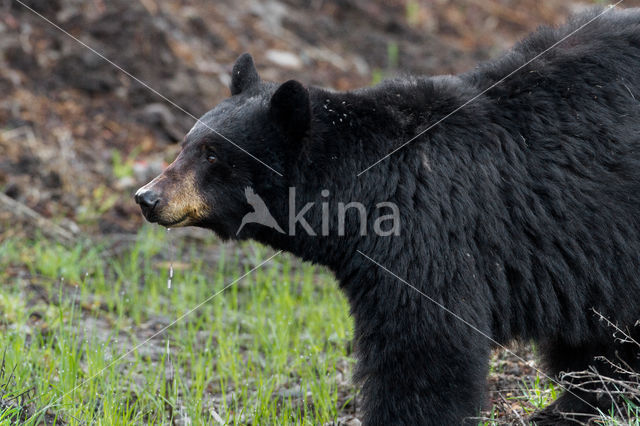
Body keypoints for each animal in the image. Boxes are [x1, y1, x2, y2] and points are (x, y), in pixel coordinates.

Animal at [138, 7, 640, 426]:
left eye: (212, 155)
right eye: (186, 143)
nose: (147, 197)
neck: (364, 187)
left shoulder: (430, 234)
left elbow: (423, 345)